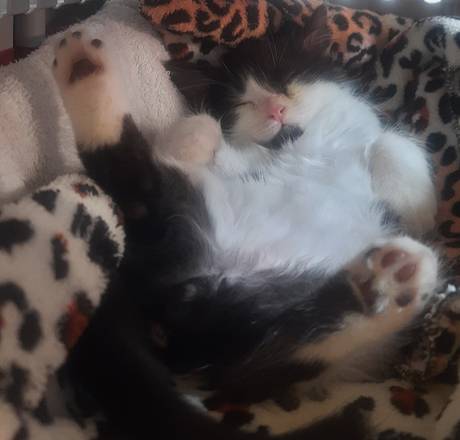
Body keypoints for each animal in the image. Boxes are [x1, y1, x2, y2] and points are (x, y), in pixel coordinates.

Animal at [53, 8, 439, 440]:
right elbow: (205, 129)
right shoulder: (241, 164)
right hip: (196, 219)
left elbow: (390, 143)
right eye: (244, 102)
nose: (275, 110)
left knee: (273, 356)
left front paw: (409, 201)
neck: (299, 144)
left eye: (286, 82)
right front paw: (189, 142)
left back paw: (385, 284)